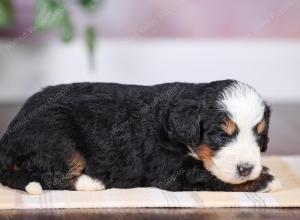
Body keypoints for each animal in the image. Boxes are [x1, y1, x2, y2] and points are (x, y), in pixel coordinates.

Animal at [0, 79, 282, 194]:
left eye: (259, 136)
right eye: (221, 135)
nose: (246, 168)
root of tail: (8, 137)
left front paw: (262, 171)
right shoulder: (173, 171)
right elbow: (208, 176)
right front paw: (266, 180)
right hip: (58, 138)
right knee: (52, 176)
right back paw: (90, 183)